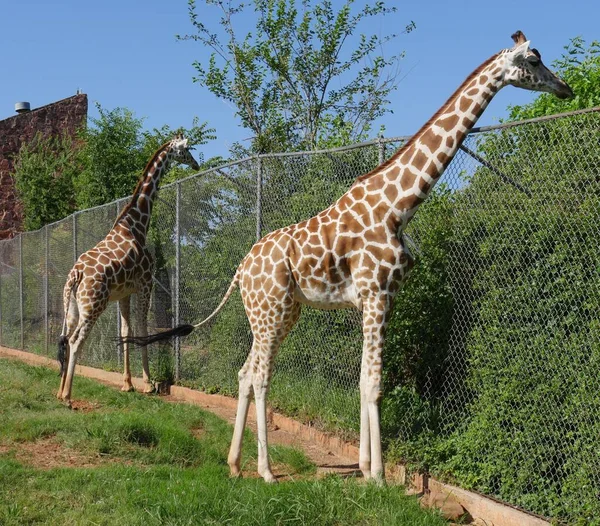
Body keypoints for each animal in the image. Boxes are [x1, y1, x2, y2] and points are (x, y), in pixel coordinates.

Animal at [55, 135, 199, 404]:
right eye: (186, 149)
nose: (196, 164)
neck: (135, 225)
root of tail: (76, 275)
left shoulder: (123, 293)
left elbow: (125, 331)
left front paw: (128, 384)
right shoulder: (145, 283)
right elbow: (141, 328)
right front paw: (148, 384)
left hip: (72, 306)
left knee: (65, 338)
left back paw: (59, 391)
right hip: (94, 305)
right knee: (76, 341)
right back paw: (68, 395)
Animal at [122, 33, 572, 484]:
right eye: (534, 59)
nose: (564, 88)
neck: (398, 206)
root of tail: (241, 270)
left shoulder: (375, 299)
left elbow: (361, 380)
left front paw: (365, 467)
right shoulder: (378, 294)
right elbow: (374, 383)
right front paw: (379, 478)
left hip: (280, 313)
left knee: (246, 373)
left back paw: (234, 464)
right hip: (271, 310)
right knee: (262, 376)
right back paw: (265, 471)